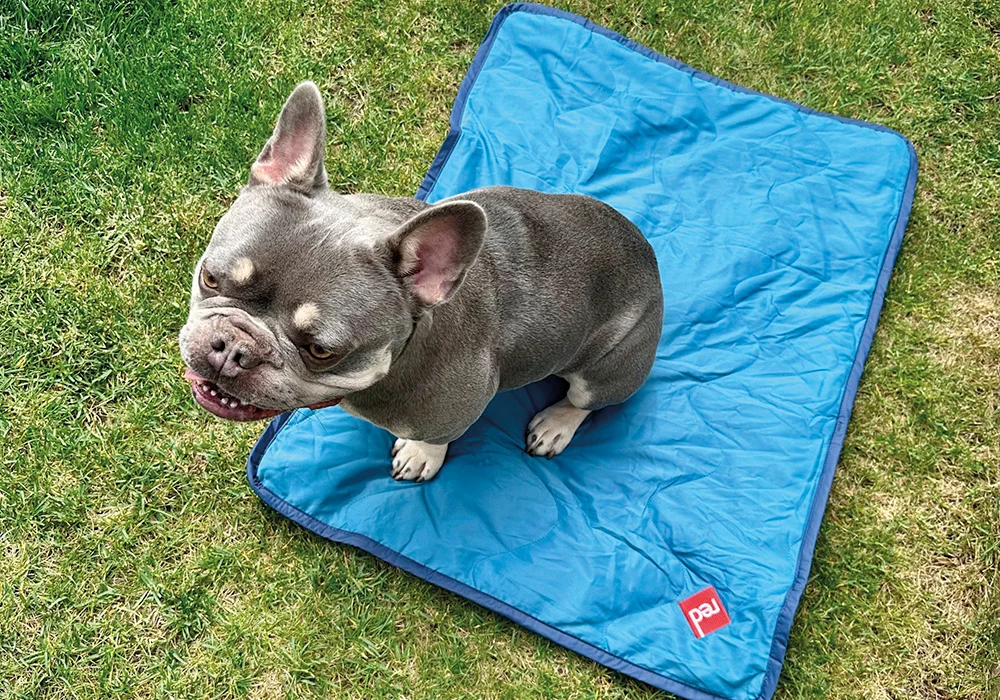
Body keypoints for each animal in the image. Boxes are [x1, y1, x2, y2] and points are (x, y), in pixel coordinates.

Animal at [179, 82, 664, 482]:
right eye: (210, 278)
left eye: (321, 351)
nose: (233, 347)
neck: (402, 355)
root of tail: (651, 260)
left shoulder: (460, 408)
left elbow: (438, 437)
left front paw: (421, 455)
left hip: (611, 368)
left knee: (587, 400)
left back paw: (557, 424)